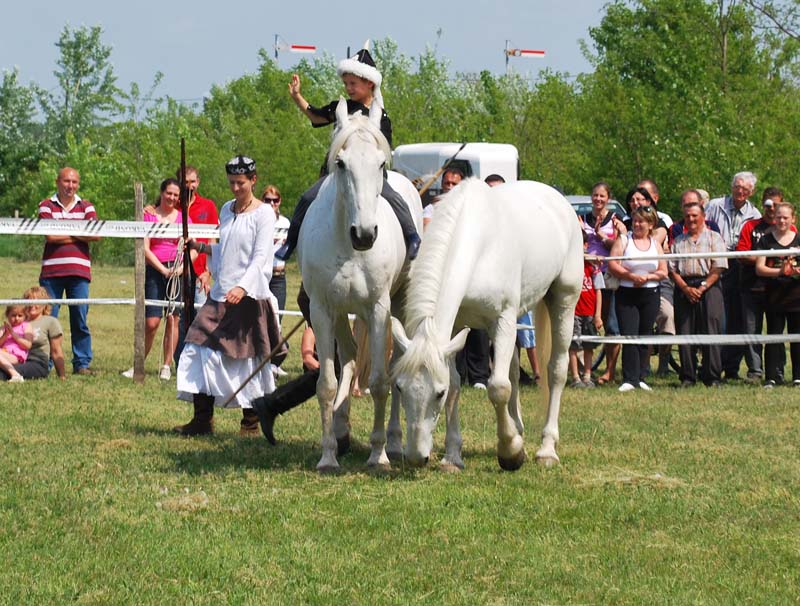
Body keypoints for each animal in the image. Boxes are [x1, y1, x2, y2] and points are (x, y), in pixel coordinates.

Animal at [298, 98, 423, 472]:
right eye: (340, 163)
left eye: (381, 163)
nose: (365, 234)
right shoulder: (322, 310)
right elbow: (327, 383)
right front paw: (327, 456)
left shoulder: (379, 309)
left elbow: (381, 383)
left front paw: (378, 455)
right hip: (341, 314)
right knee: (350, 360)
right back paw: (341, 433)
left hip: (396, 306)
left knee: (395, 366)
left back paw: (393, 443)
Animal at [390, 178, 583, 471]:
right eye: (400, 387)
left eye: (438, 393)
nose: (416, 457)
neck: (479, 243)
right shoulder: (455, 329)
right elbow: (459, 383)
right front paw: (452, 457)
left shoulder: (502, 320)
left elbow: (498, 387)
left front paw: (511, 452)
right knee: (514, 369)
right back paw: (518, 427)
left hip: (564, 300)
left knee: (556, 370)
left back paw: (547, 449)